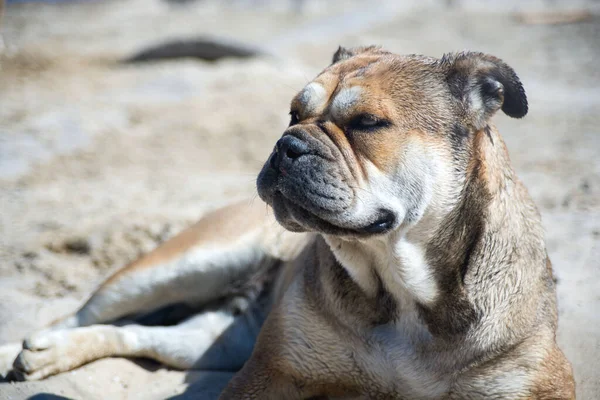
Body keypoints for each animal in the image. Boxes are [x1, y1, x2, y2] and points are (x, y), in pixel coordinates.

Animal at [1, 47, 576, 400]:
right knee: (80, 314)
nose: (287, 144)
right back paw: (32, 350)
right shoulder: (269, 374)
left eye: (368, 123)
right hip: (177, 265)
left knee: (140, 335)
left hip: (212, 339)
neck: (399, 288)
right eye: (293, 113)